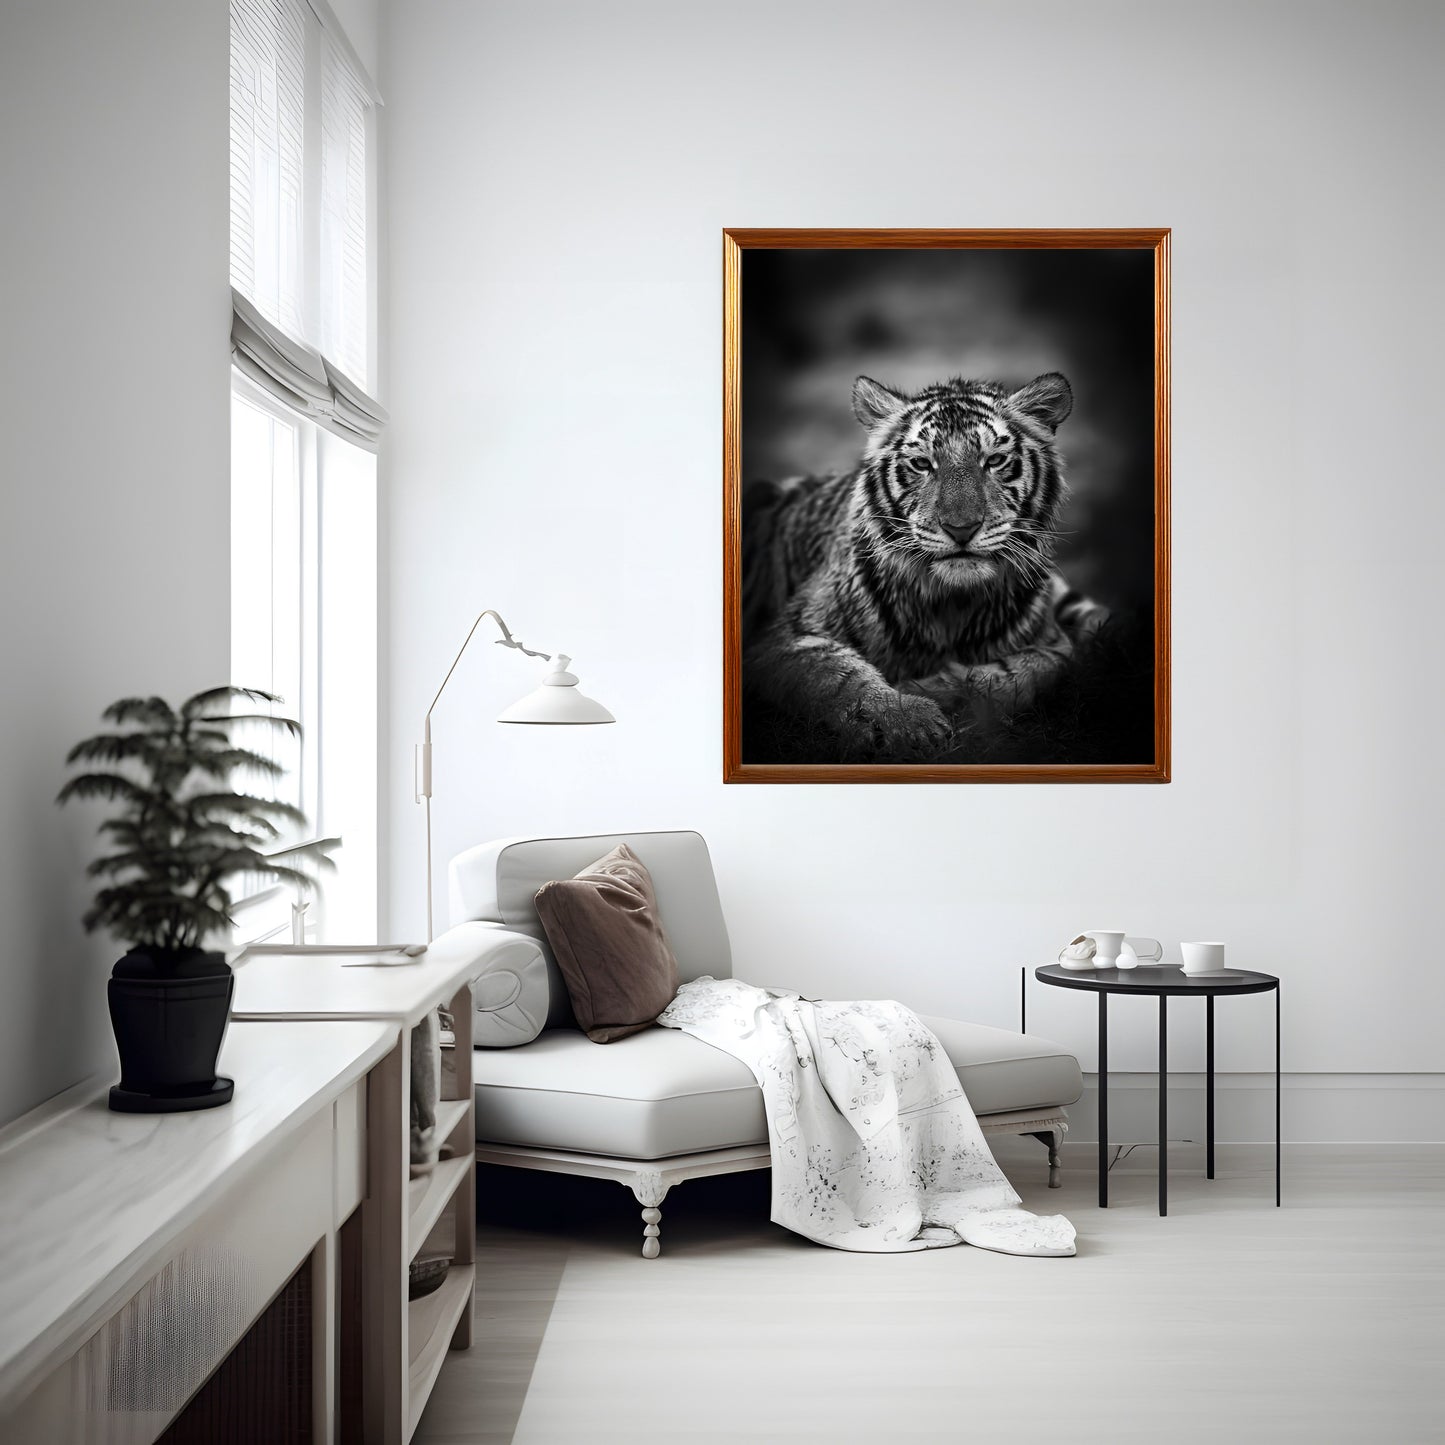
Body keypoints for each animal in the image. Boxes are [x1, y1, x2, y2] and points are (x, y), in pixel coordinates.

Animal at [742, 371, 1107, 758]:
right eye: (922, 464)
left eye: (994, 460)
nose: (961, 529)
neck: (952, 604)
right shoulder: (784, 639)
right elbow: (839, 676)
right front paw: (907, 721)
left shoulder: (1054, 643)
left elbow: (1028, 672)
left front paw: (924, 689)